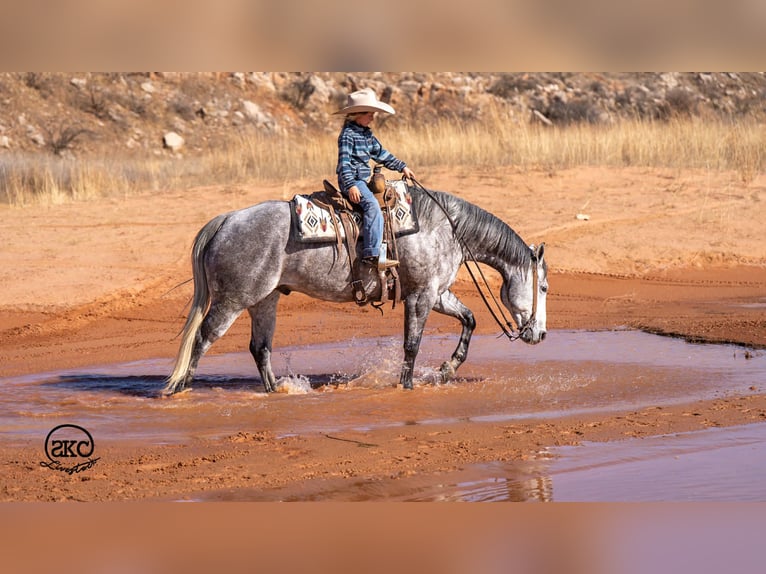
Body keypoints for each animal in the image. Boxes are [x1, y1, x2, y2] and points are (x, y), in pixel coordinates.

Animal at [164, 184, 548, 395]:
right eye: (543, 286)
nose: (541, 334)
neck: (445, 227)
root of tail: (227, 219)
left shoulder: (437, 293)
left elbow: (469, 319)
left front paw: (446, 370)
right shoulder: (420, 297)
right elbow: (411, 344)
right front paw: (406, 385)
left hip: (264, 300)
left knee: (260, 347)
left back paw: (276, 390)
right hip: (232, 300)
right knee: (203, 337)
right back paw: (182, 387)